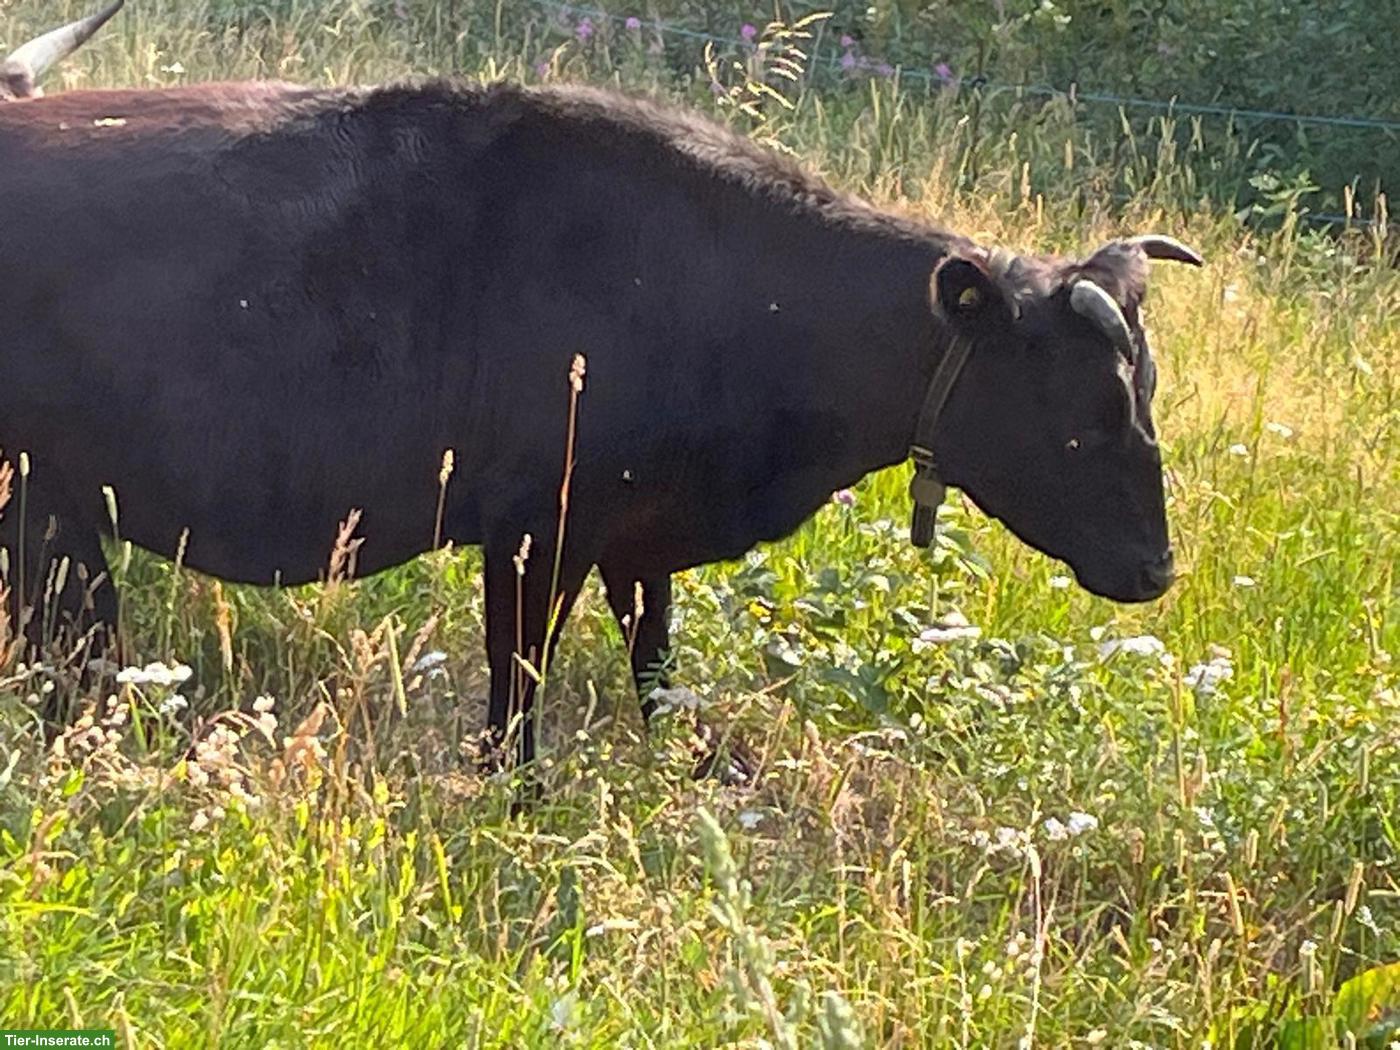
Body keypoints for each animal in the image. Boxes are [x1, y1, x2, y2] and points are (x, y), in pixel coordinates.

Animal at [0, 6, 1202, 766]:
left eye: (1141, 396)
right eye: (1080, 415)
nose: (1154, 569)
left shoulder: (638, 539)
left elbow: (654, 669)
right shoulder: (537, 530)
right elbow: (515, 697)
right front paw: (514, 800)